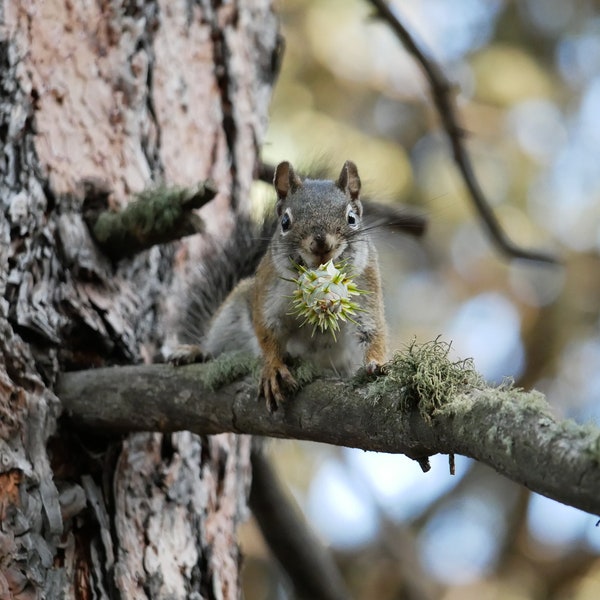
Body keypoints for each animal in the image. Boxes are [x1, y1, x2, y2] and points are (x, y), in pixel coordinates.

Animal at [169, 159, 418, 412]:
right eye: (285, 222)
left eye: (351, 218)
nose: (321, 243)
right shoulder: (267, 293)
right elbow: (267, 332)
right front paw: (273, 368)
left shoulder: (367, 285)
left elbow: (370, 330)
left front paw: (376, 363)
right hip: (231, 314)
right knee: (218, 347)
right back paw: (195, 351)